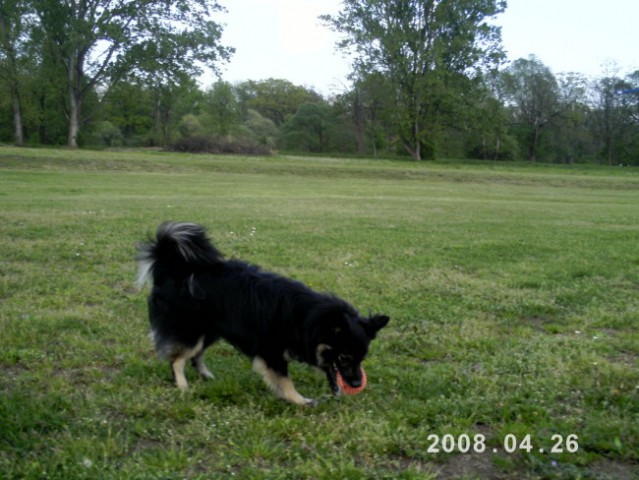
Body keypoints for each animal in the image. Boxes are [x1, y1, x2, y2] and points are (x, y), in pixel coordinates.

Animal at [138, 222, 390, 404]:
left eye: (362, 358)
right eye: (345, 357)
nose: (356, 384)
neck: (305, 319)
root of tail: (173, 268)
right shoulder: (271, 353)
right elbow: (284, 381)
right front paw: (300, 401)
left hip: (210, 331)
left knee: (195, 355)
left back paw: (205, 375)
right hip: (191, 331)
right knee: (177, 359)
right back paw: (182, 385)